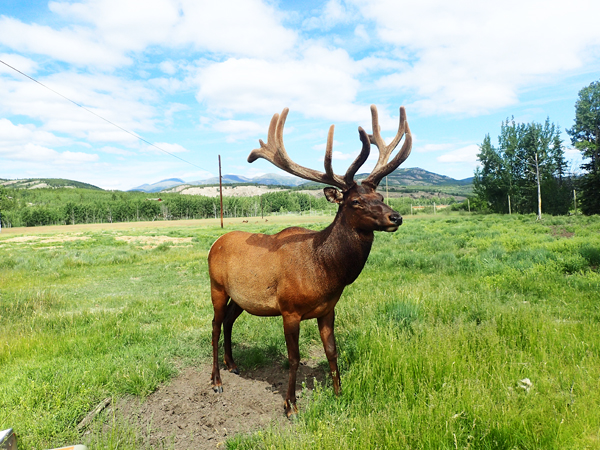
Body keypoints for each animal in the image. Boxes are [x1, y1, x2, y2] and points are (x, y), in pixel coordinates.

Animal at [208, 105, 412, 417]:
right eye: (355, 202)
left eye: (379, 194)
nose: (396, 217)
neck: (325, 273)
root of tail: (214, 244)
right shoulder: (289, 310)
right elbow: (294, 358)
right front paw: (290, 405)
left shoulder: (328, 309)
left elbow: (332, 351)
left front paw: (339, 394)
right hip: (216, 286)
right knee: (215, 326)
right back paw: (216, 380)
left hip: (240, 296)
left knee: (229, 321)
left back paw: (233, 365)